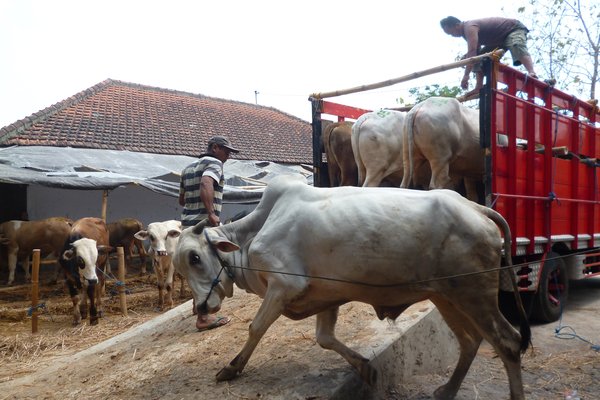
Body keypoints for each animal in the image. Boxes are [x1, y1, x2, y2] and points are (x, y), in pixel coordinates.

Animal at [173, 177, 528, 400]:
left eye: (194, 258)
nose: (202, 308)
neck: (253, 235)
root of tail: (477, 208)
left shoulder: (284, 285)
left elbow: (256, 327)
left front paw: (232, 367)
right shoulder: (326, 295)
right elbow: (325, 338)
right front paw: (365, 369)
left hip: (474, 294)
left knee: (508, 342)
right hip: (446, 296)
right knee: (470, 341)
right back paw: (447, 390)